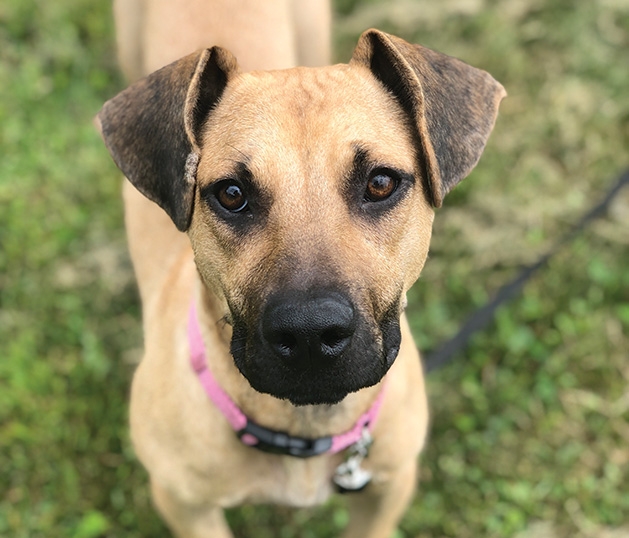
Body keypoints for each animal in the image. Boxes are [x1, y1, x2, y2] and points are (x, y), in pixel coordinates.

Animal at [94, 2, 506, 532]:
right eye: (231, 194)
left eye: (379, 183)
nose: (310, 333)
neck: (302, 428)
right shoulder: (184, 505)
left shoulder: (388, 491)